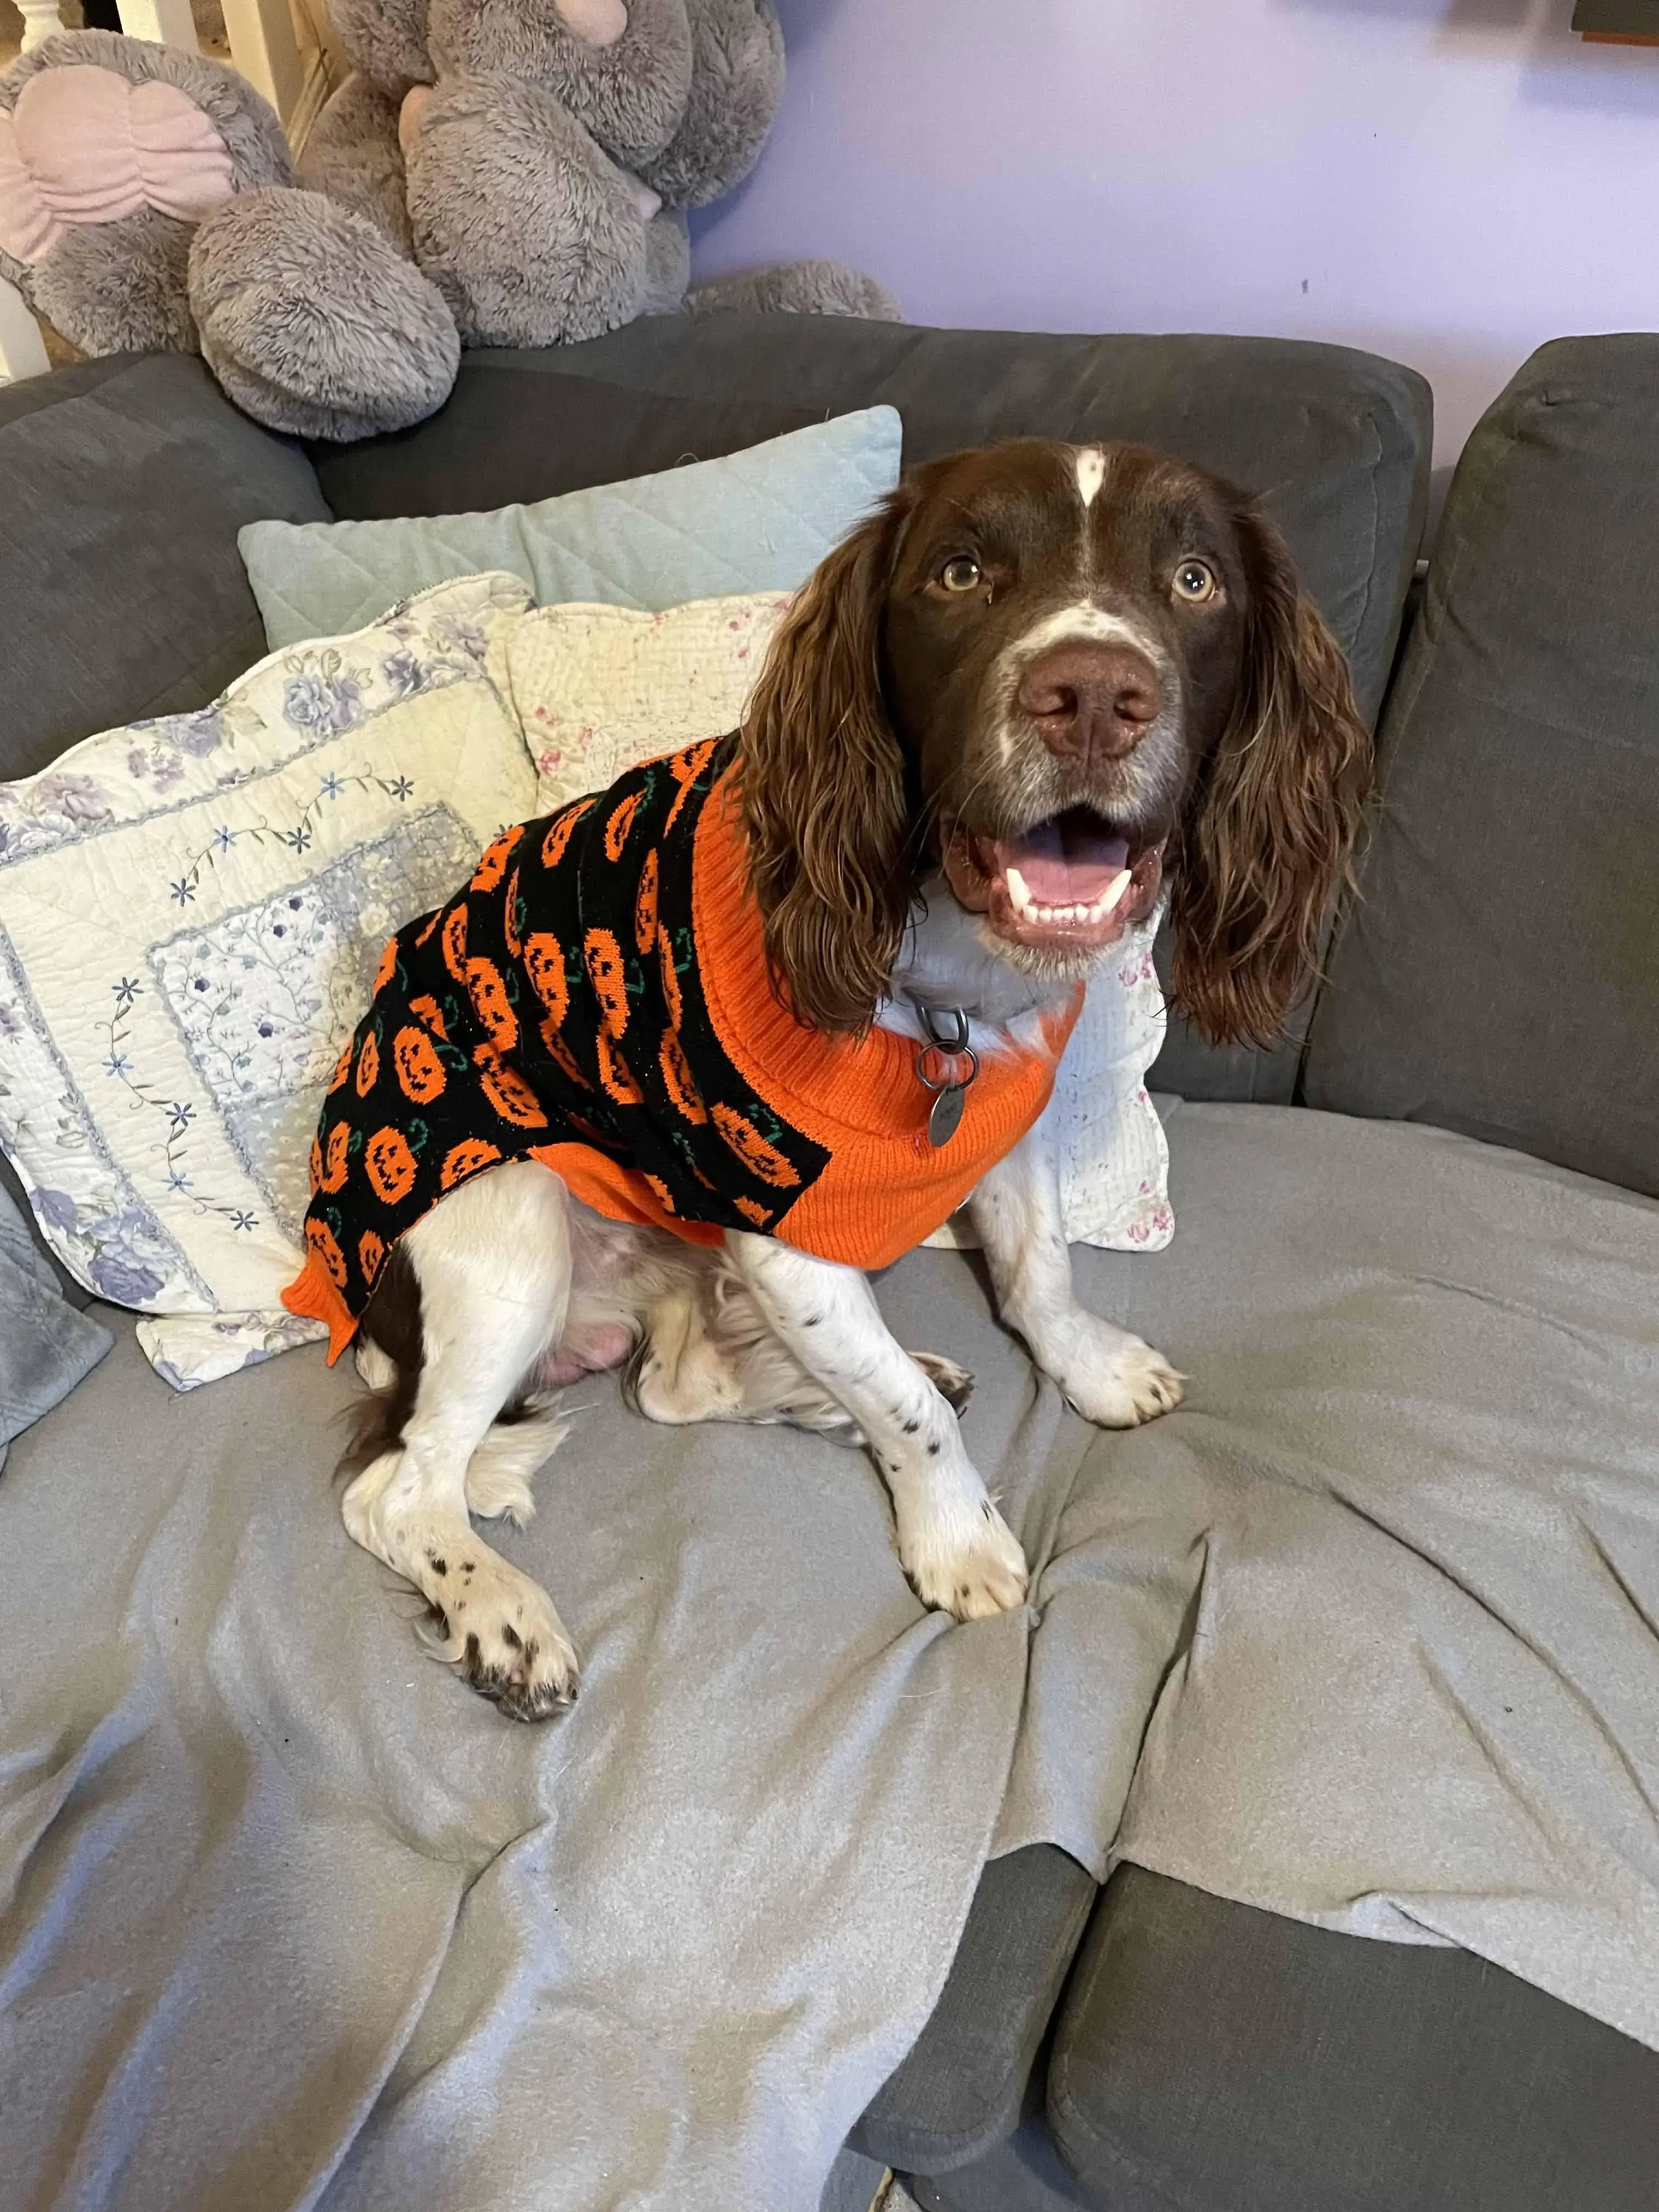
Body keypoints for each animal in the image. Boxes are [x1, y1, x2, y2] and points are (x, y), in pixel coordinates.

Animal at [340, 440, 1380, 1716]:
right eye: (960, 572)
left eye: (1193, 580)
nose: (1093, 698)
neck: (938, 973)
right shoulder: (780, 1234)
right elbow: (907, 1413)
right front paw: (957, 1532)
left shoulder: (1000, 1126)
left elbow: (1035, 1282)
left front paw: (1083, 1367)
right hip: (508, 1221)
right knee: (401, 1488)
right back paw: (501, 1612)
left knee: (671, 1387)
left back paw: (808, 1391)